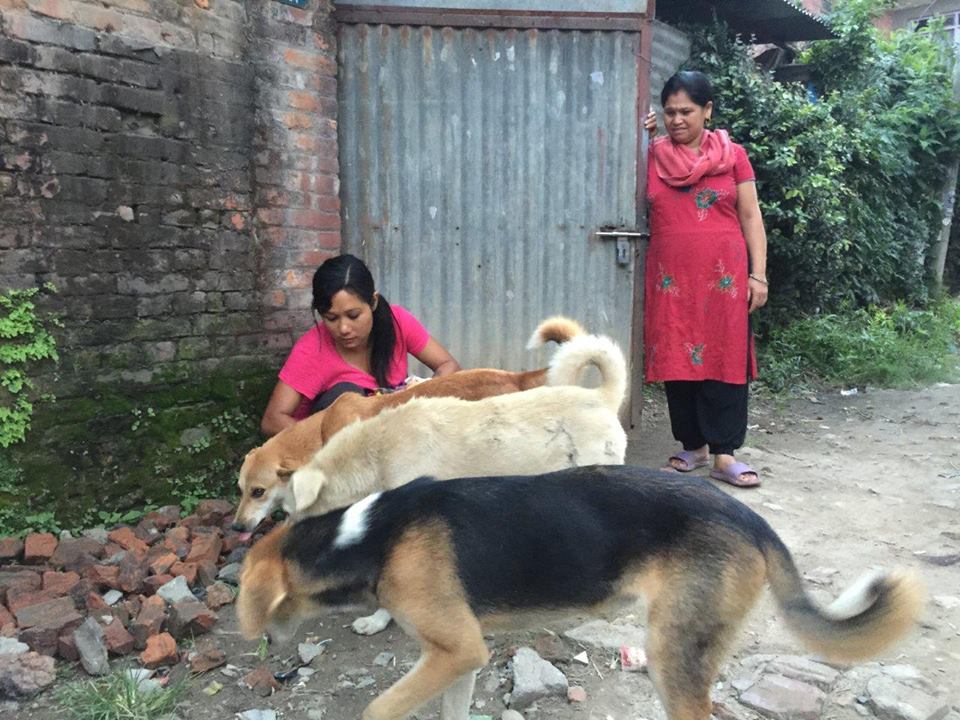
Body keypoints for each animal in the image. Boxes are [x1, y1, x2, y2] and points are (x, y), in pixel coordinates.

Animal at [238, 465, 925, 720]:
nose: (269, 660)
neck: (368, 536)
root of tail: (748, 517)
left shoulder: (456, 650)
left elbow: (379, 707)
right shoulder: (457, 655)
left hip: (674, 656)